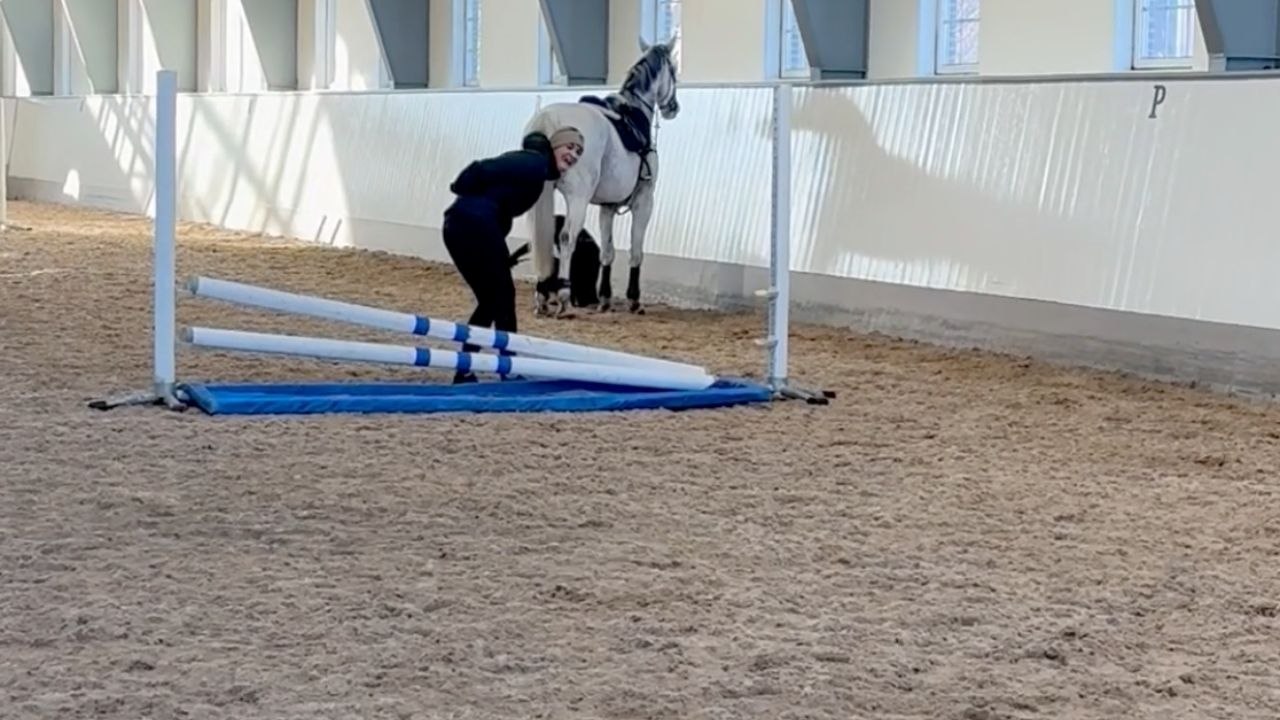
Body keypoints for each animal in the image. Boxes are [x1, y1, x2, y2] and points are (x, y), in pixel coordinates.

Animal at [523, 34, 681, 317]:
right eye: (673, 70)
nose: (673, 107)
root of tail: (548, 119)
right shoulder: (644, 201)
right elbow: (636, 250)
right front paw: (634, 299)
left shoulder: (607, 206)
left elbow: (607, 252)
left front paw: (605, 298)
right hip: (578, 197)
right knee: (566, 238)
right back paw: (563, 296)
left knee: (541, 236)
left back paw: (542, 296)